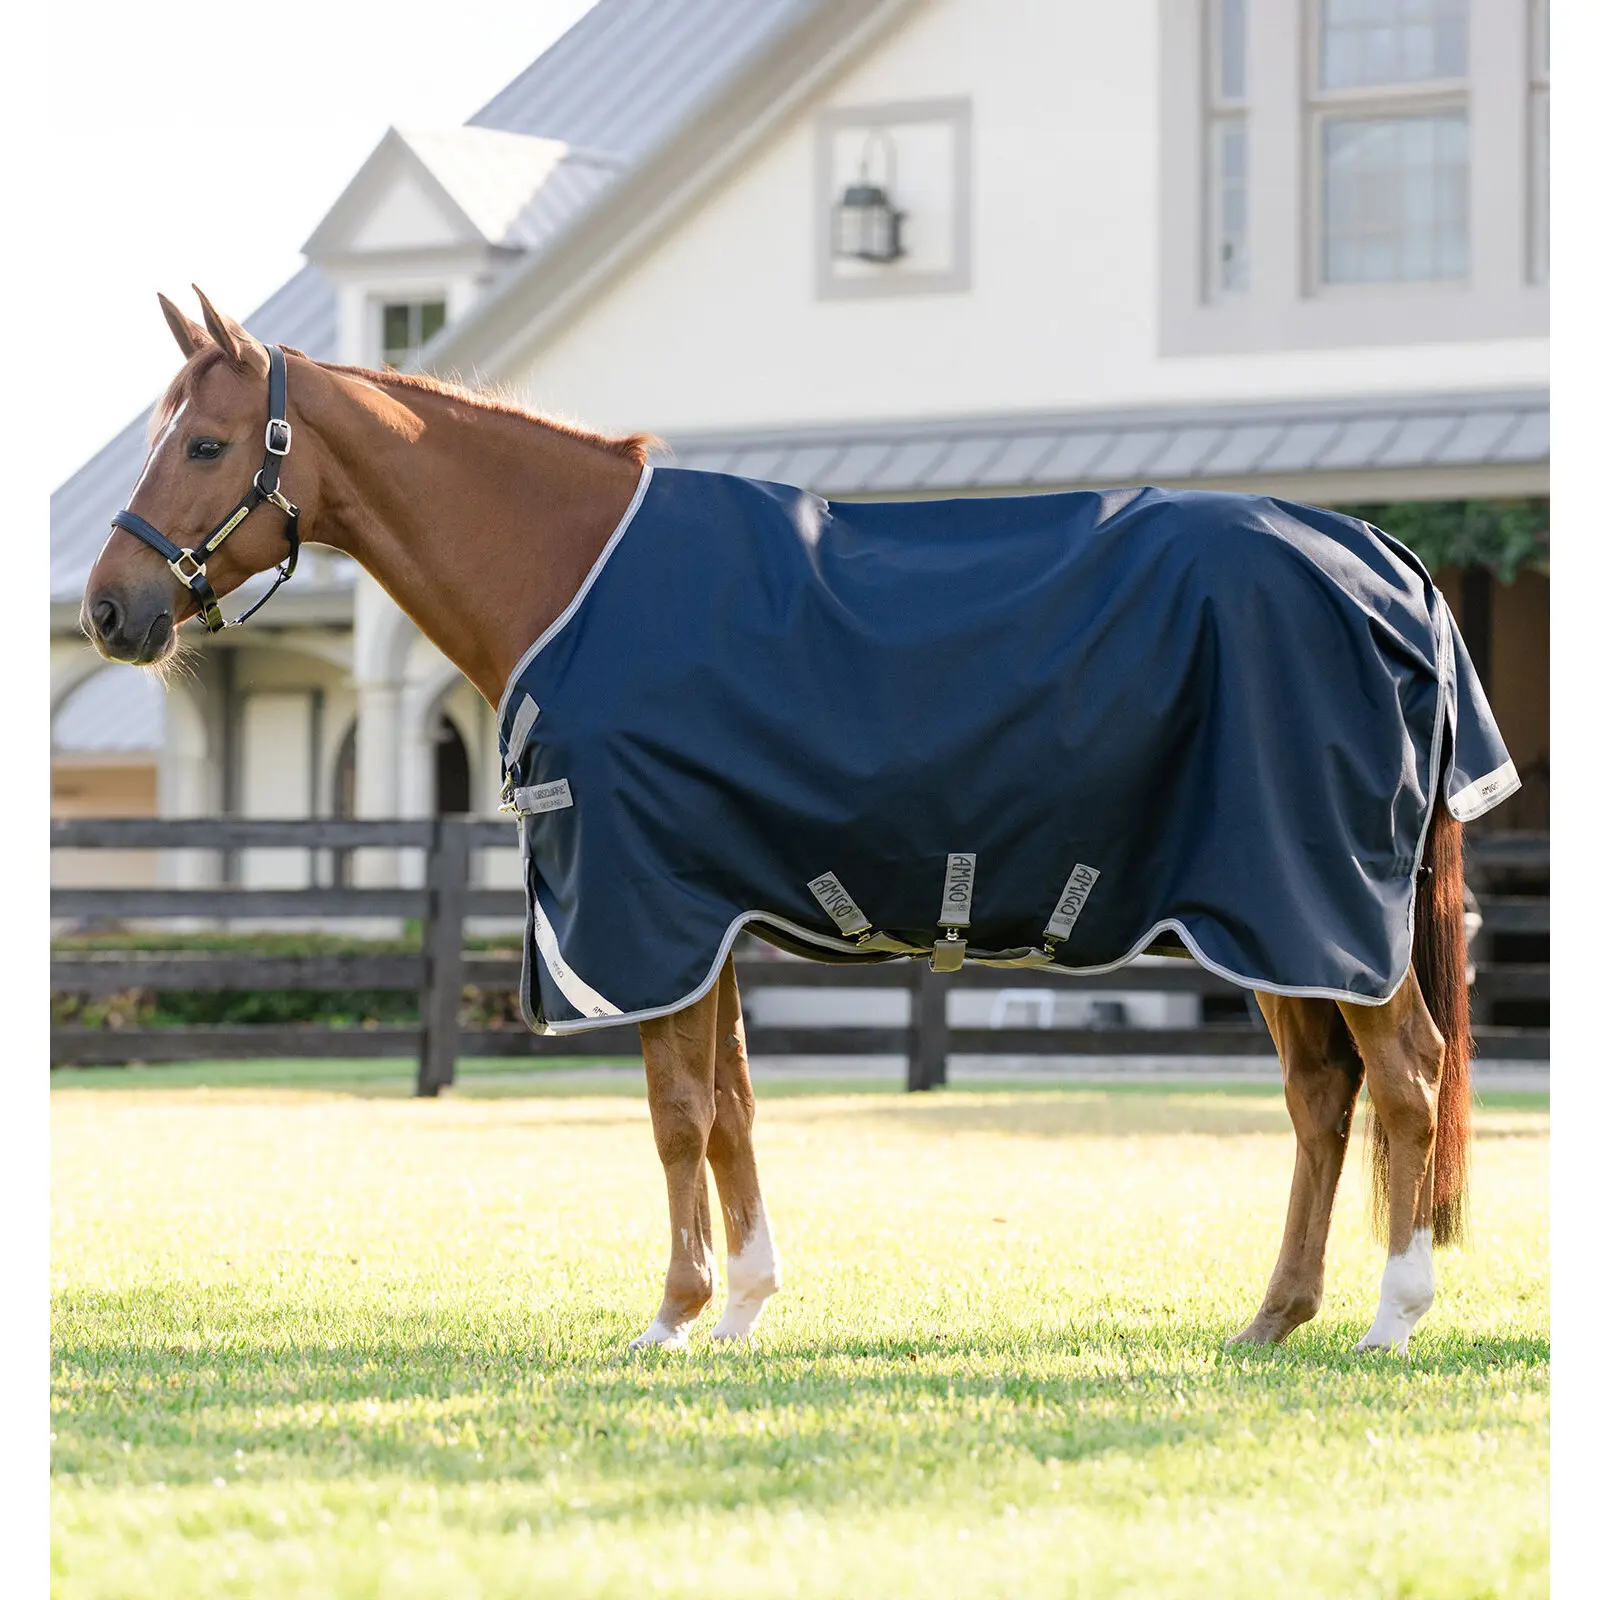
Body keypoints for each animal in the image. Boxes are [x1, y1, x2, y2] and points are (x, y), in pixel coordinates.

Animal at [81, 288, 1487, 1356]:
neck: (575, 573)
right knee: (1322, 1096)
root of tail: (1389, 568)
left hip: (1313, 906)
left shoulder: (649, 907)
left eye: (205, 444)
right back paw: (1275, 1316)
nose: (107, 609)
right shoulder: (709, 913)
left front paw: (671, 1316)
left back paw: (1390, 1318)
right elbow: (733, 1106)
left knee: (1405, 1078)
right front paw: (744, 1307)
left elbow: (676, 1111)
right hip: (1273, 921)